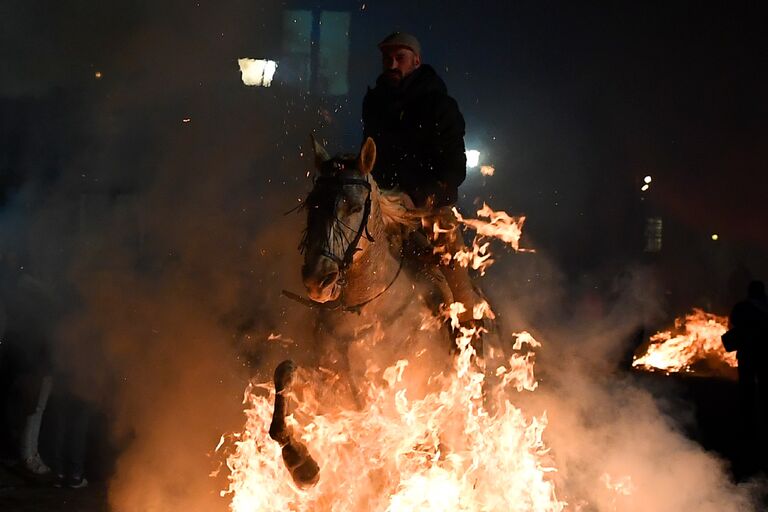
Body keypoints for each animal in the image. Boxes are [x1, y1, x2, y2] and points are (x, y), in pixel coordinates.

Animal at [268, 136, 488, 488]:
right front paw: (301, 464)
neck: (366, 316)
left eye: (355, 206)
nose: (318, 280)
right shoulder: (335, 392)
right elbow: (284, 373)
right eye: (312, 204)